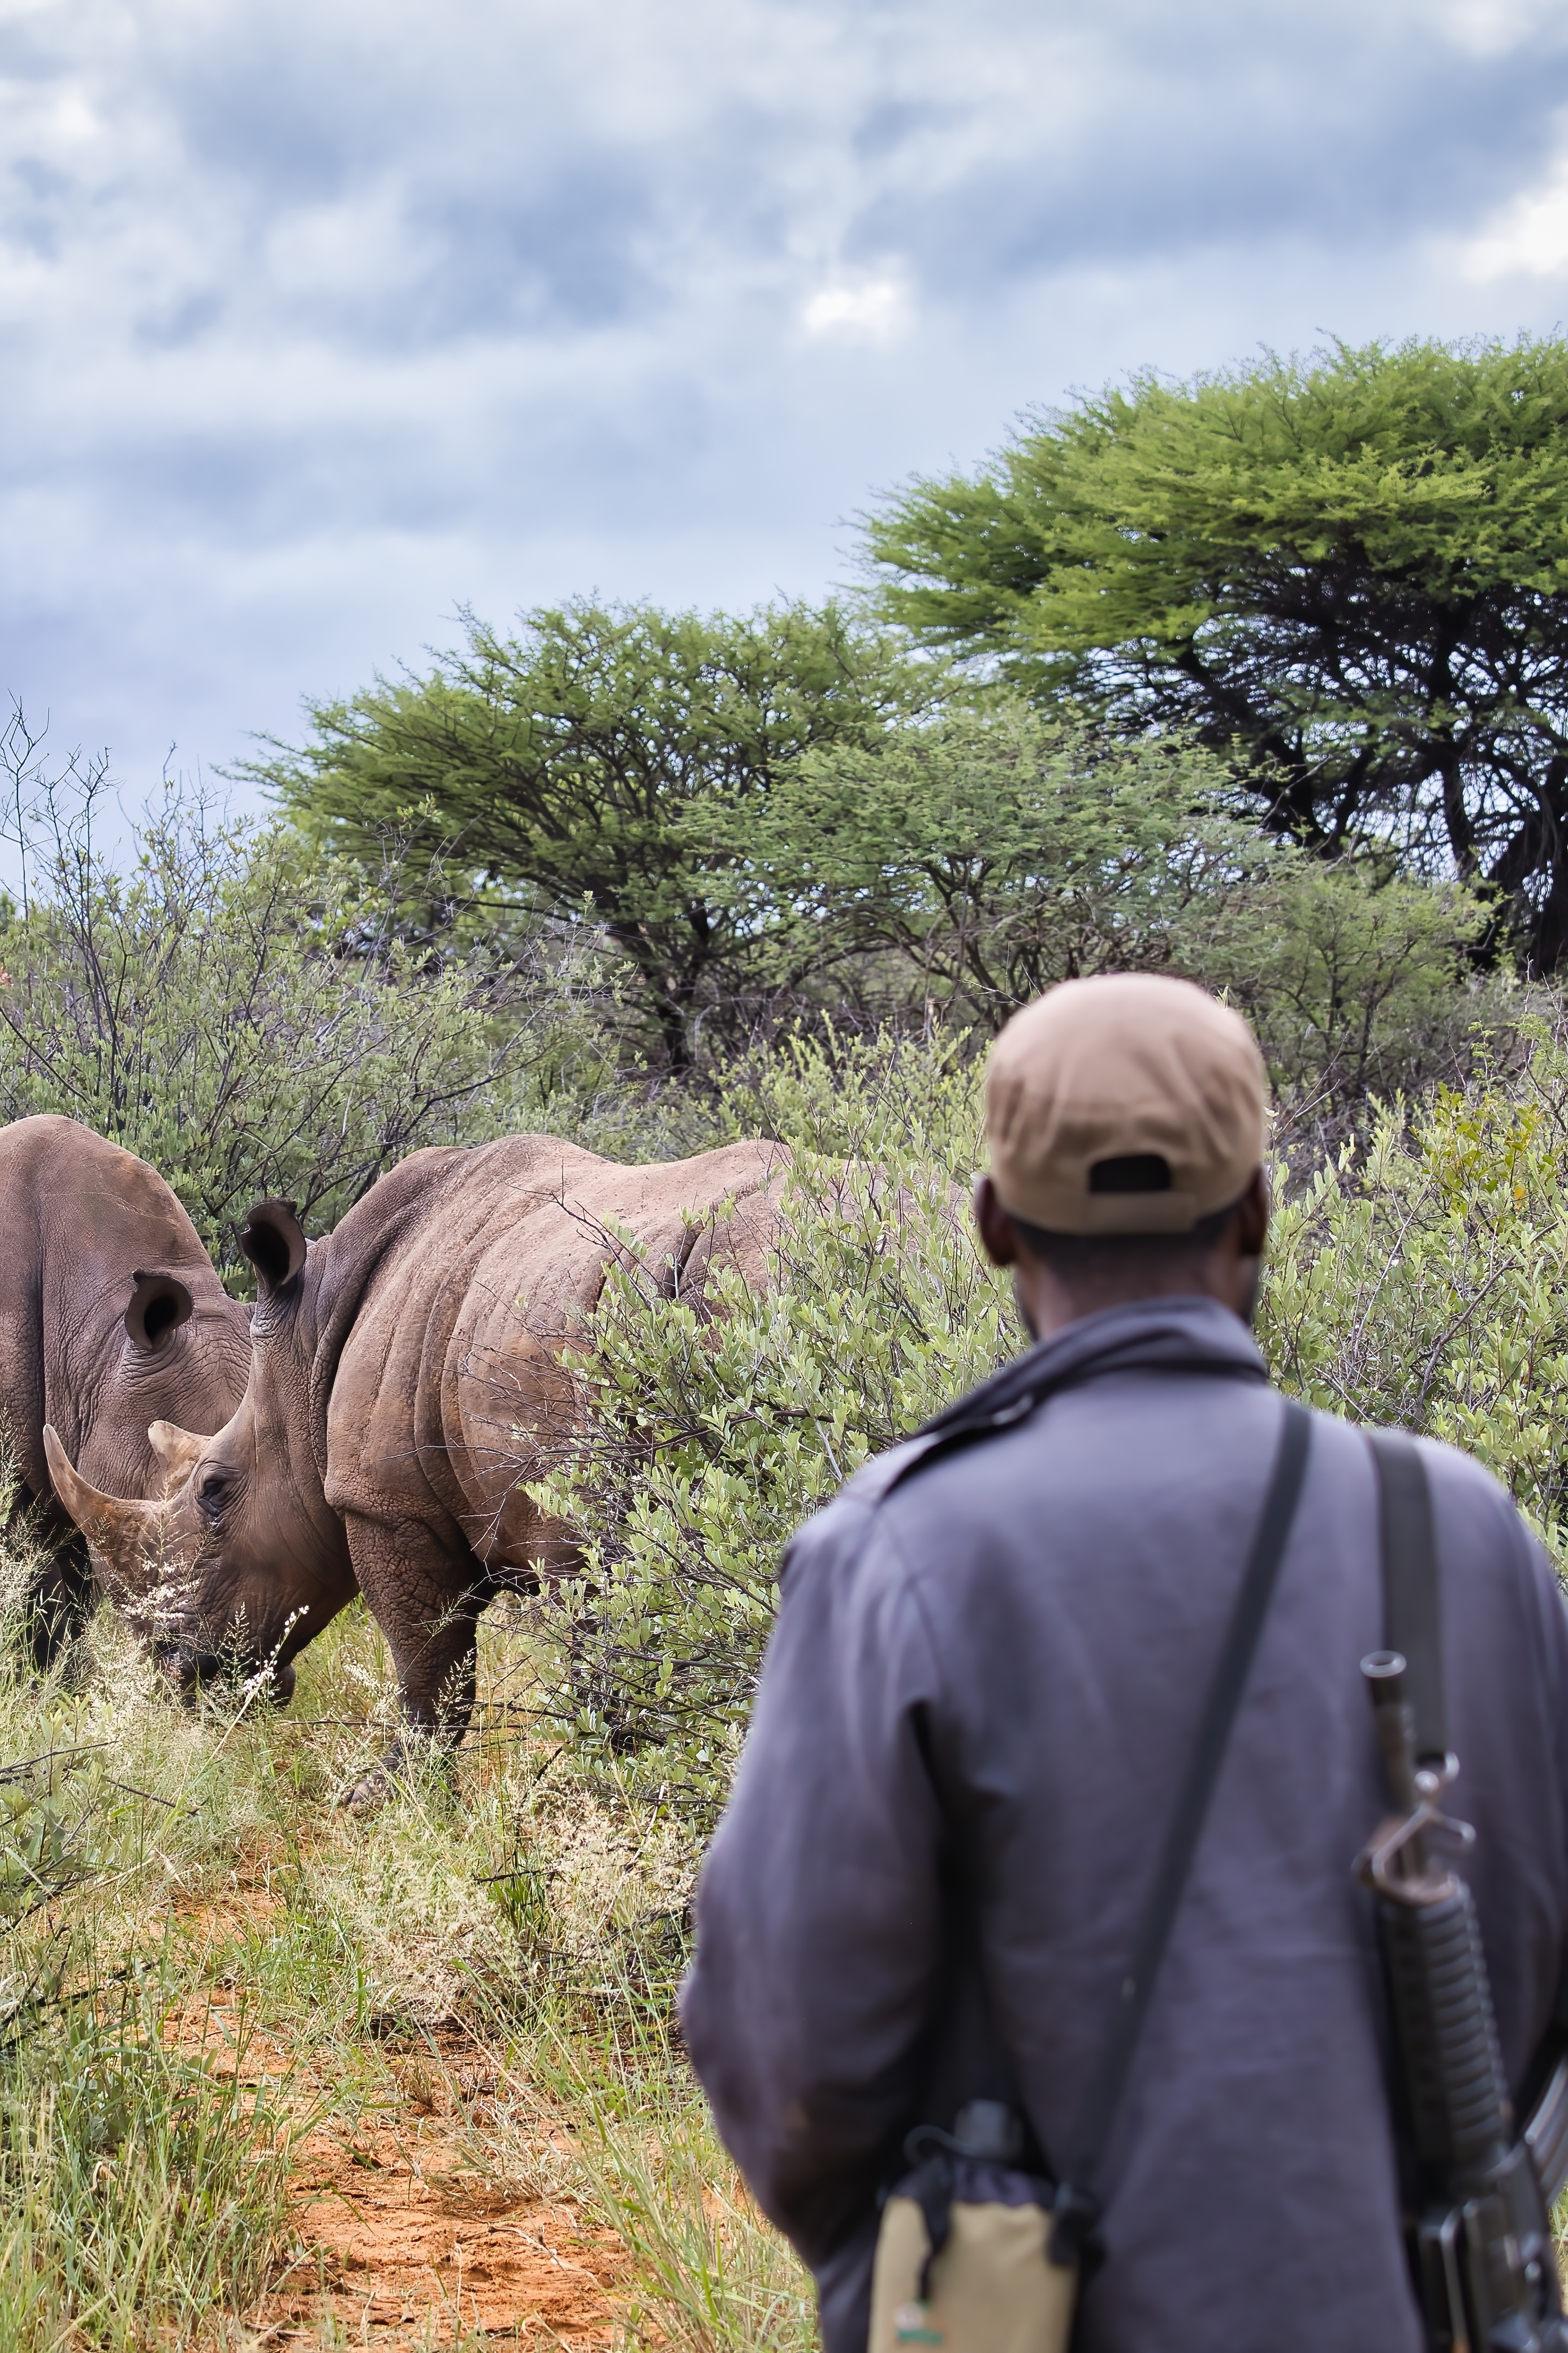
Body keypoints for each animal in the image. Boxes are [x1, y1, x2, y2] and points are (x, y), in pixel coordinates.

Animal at [45, 1133, 786, 1803]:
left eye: (215, 1490)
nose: (179, 1671)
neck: (308, 1341)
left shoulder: (386, 1502)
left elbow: (427, 1658)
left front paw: (385, 1797)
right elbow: (448, 1658)